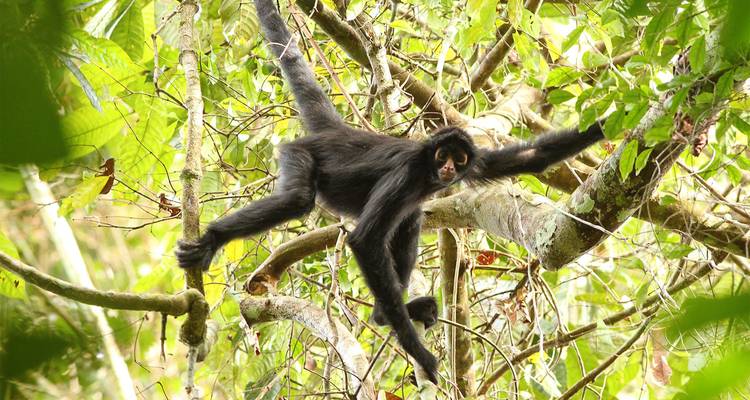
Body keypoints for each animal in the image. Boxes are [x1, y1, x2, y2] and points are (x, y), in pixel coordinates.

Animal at [175, 0, 605, 384]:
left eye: (460, 158)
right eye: (443, 155)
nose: (449, 169)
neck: (428, 171)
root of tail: (336, 132)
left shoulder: (475, 161)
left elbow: (531, 158)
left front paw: (603, 128)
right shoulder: (408, 173)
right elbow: (365, 240)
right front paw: (418, 351)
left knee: (410, 220)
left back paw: (386, 313)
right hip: (298, 154)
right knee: (302, 201)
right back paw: (212, 239)